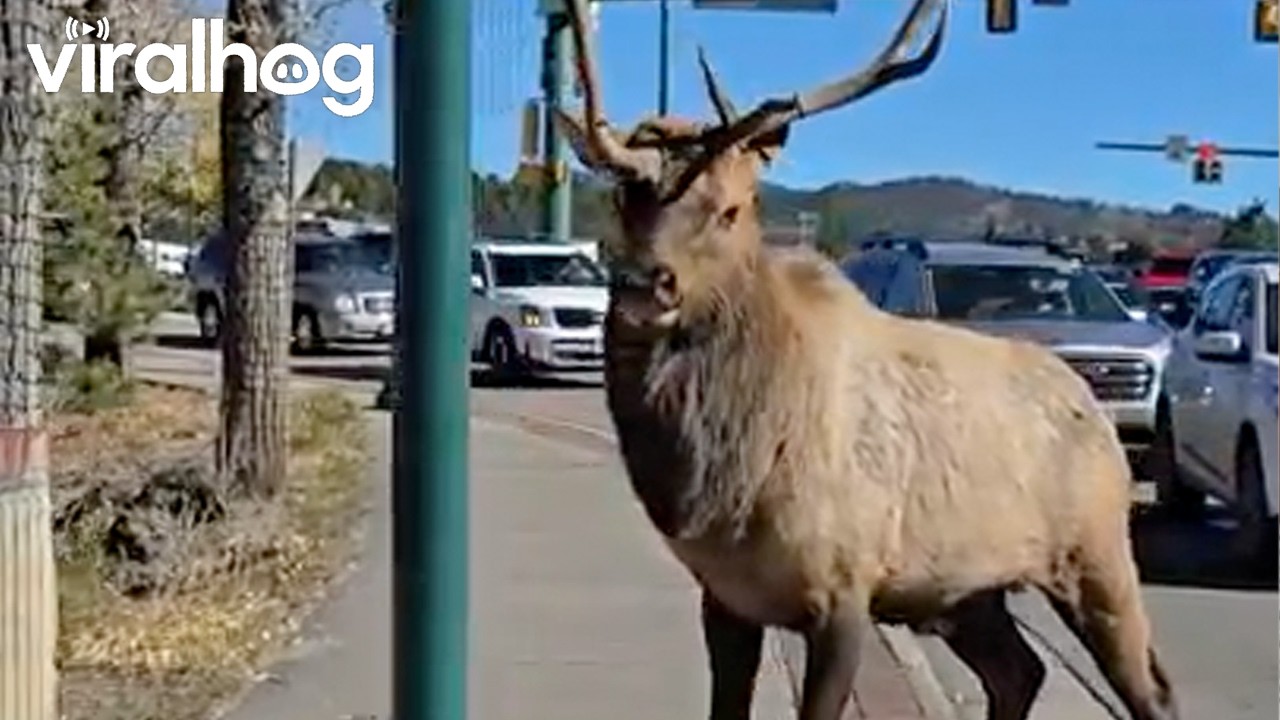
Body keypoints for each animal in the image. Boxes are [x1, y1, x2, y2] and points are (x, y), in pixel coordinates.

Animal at [550, 0, 1179, 718]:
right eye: (622, 199)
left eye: (732, 208)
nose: (643, 285)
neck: (721, 483)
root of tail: (1094, 406)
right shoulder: (726, 597)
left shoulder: (844, 590)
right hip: (965, 590)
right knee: (1019, 670)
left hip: (1098, 553)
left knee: (1152, 691)